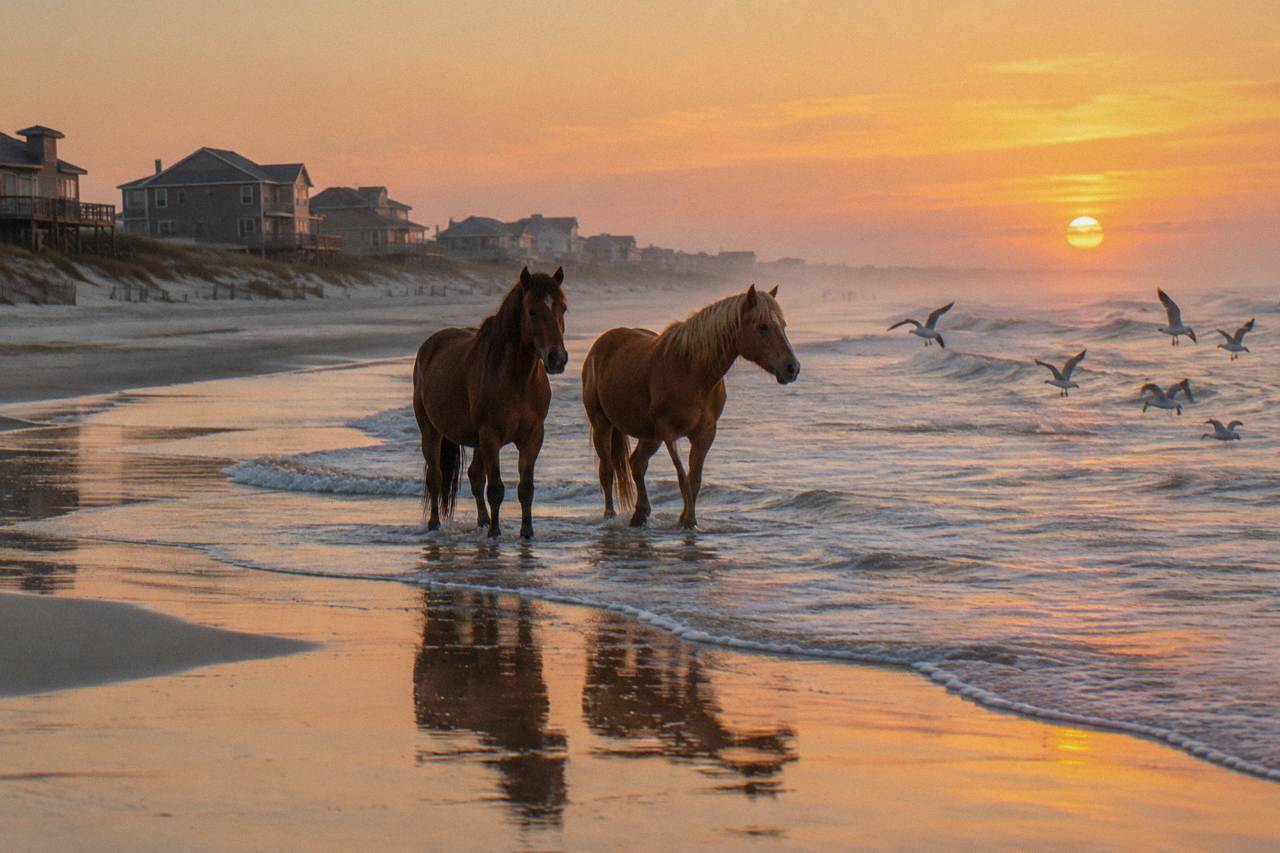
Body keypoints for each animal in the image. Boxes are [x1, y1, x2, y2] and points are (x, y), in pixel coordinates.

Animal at [412, 267, 568, 539]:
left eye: (563, 308)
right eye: (532, 311)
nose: (556, 358)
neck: (517, 378)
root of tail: (429, 346)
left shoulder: (533, 436)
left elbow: (526, 488)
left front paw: (527, 532)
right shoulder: (490, 435)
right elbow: (496, 488)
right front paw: (495, 533)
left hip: (476, 441)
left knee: (475, 476)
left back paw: (482, 521)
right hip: (431, 431)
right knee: (436, 477)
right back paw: (435, 524)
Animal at [582, 284, 799, 529]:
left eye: (783, 325)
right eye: (763, 326)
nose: (792, 368)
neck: (692, 371)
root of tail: (601, 343)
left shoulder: (704, 434)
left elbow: (694, 480)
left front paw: (688, 520)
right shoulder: (669, 433)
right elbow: (682, 476)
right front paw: (688, 519)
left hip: (650, 435)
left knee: (637, 464)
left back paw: (640, 514)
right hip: (602, 423)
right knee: (607, 471)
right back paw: (609, 517)